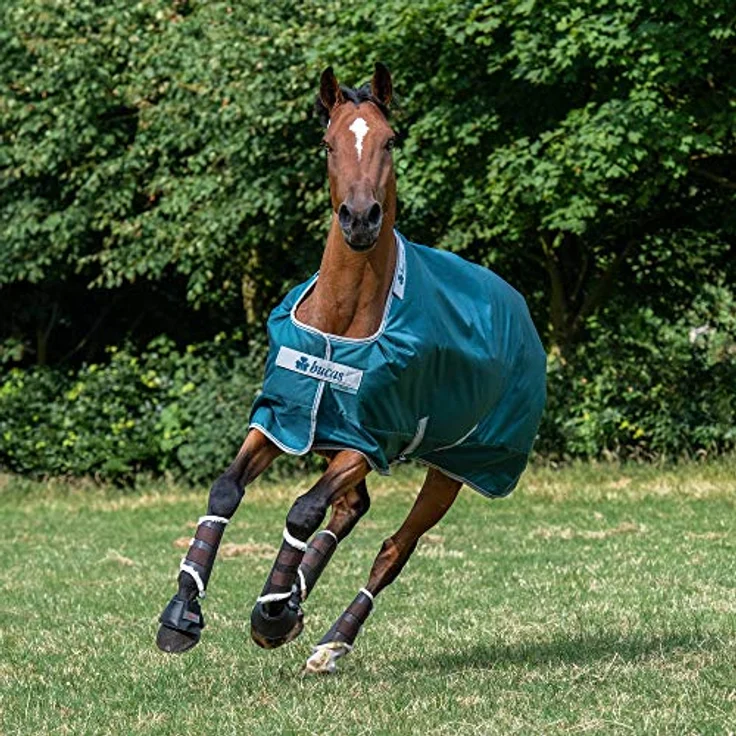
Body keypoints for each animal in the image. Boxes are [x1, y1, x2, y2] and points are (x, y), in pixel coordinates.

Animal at [156, 63, 546, 674]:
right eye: (328, 143)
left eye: (390, 140)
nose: (360, 218)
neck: (341, 322)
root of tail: (519, 306)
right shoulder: (283, 417)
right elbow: (225, 490)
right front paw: (182, 614)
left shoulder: (370, 442)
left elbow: (303, 509)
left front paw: (271, 613)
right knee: (352, 508)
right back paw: (296, 603)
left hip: (456, 465)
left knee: (393, 548)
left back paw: (327, 640)